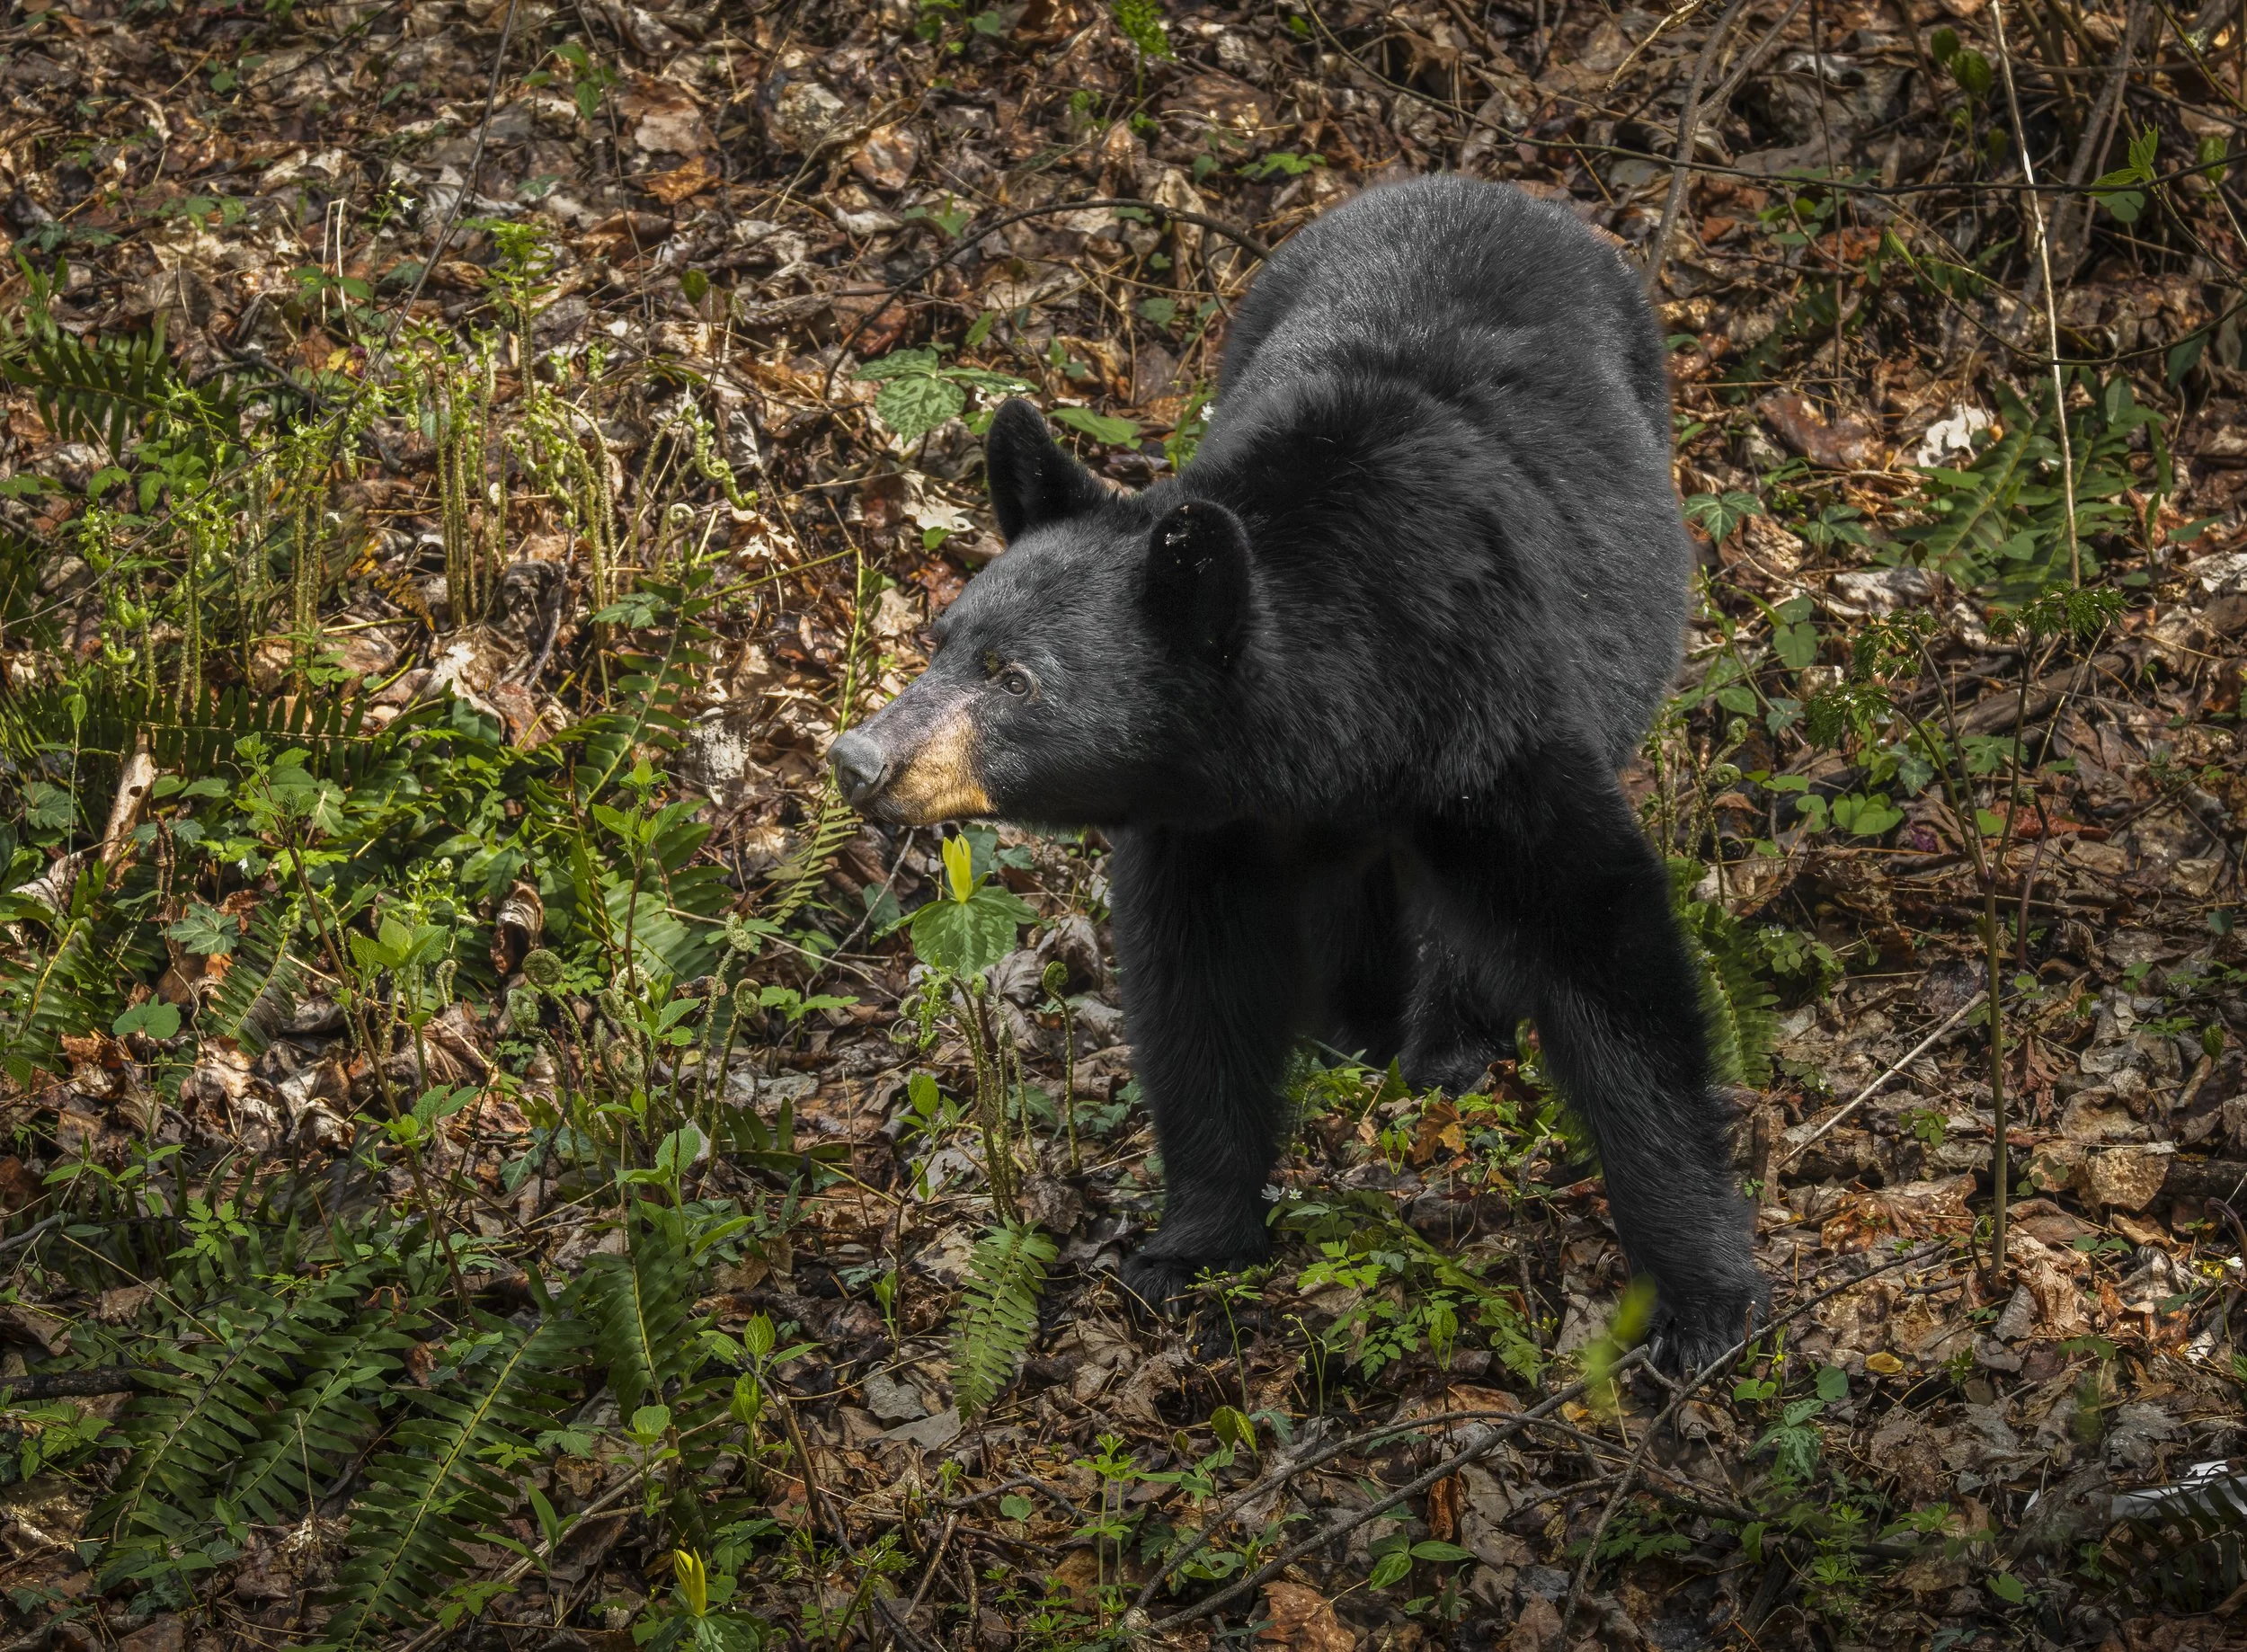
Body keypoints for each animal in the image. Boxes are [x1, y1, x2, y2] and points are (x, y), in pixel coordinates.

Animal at [828, 175, 1768, 1371]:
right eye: (941, 639)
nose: (859, 757)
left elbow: (1604, 945)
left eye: (1016, 678)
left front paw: (1701, 1294)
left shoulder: (1492, 726)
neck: (1341, 713)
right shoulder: (1208, 825)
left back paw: (1445, 1040)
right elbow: (1198, 991)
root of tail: (1478, 186)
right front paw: (1193, 1238)